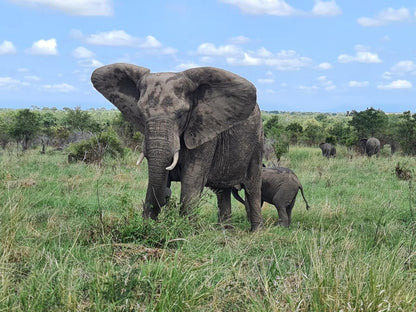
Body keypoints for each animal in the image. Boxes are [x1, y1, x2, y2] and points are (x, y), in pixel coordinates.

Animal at [92, 63, 264, 232]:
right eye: (141, 114)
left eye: (181, 114)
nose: (167, 195)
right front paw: (148, 227)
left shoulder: (203, 131)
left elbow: (192, 179)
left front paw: (186, 232)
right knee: (223, 191)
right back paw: (225, 231)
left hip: (257, 142)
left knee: (253, 188)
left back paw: (255, 232)